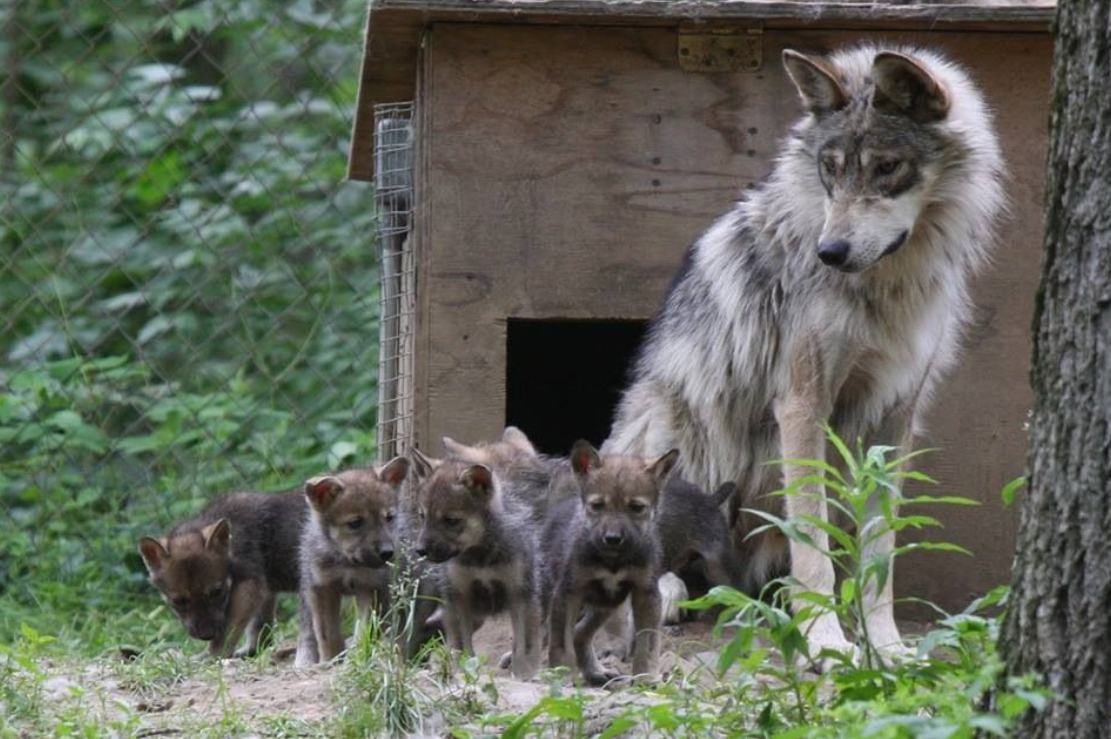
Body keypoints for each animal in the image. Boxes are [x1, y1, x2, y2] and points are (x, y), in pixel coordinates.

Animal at [138, 488, 306, 657]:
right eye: (179, 601)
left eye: (217, 592)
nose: (207, 635)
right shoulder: (265, 589)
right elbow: (259, 632)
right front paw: (250, 652)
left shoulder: (250, 585)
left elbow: (225, 636)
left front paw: (210, 657)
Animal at [295, 457, 413, 666]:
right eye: (355, 523)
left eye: (389, 518)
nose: (387, 552)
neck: (348, 564)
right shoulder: (323, 587)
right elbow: (327, 635)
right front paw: (330, 661)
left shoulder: (371, 588)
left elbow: (364, 632)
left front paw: (357, 659)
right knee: (307, 631)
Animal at [413, 446, 542, 675]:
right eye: (422, 516)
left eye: (451, 520)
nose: (420, 550)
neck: (481, 559)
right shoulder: (459, 597)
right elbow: (462, 648)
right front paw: (463, 672)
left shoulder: (520, 594)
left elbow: (523, 646)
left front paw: (524, 674)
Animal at [544, 437, 675, 684]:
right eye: (597, 506)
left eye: (636, 508)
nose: (612, 538)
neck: (613, 561)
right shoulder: (568, 592)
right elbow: (560, 644)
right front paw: (561, 677)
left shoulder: (646, 592)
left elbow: (648, 643)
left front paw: (646, 678)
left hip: (606, 604)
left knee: (580, 633)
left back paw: (596, 672)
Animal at [608, 43, 1008, 657]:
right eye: (831, 168)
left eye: (886, 167)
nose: (830, 251)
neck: (886, 288)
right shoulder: (801, 402)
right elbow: (813, 539)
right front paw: (826, 643)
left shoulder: (897, 416)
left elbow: (880, 550)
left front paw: (885, 646)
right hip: (673, 423)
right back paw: (673, 593)